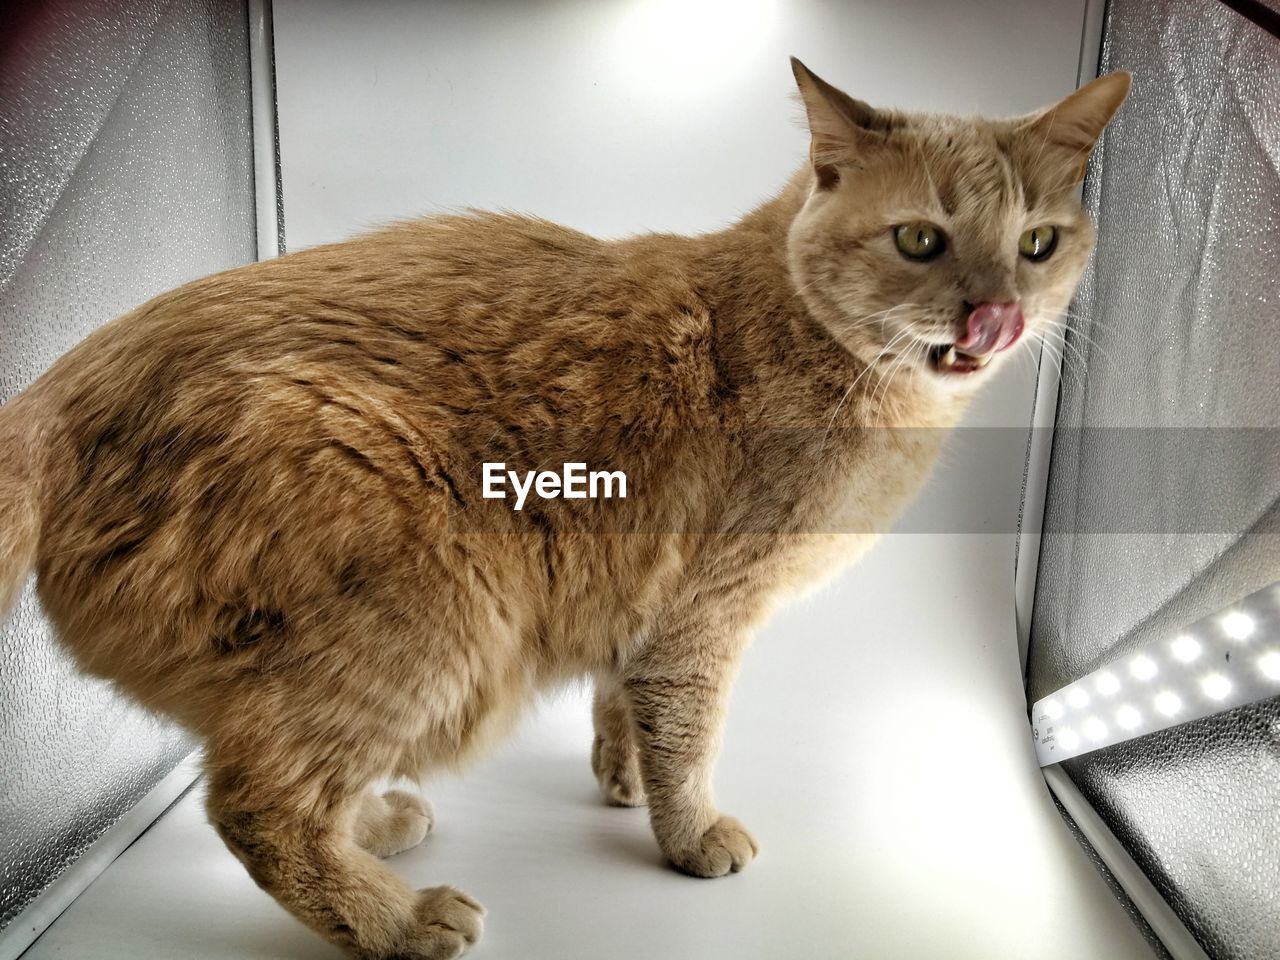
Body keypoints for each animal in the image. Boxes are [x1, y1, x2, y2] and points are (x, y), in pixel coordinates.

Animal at [0, 60, 1121, 960]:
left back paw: (374, 830)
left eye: (1035, 243)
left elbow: (624, 702)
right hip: (430, 613)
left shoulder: (644, 598)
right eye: (921, 238)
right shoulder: (706, 609)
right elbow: (689, 734)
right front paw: (689, 834)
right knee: (256, 802)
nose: (995, 313)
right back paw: (398, 919)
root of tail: (53, 397)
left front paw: (620, 780)